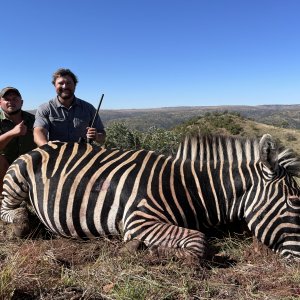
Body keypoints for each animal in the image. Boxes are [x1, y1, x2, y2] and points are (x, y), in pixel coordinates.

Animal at [0, 134, 300, 262]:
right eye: (292, 203)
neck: (189, 188)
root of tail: (47, 145)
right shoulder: (139, 220)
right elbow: (199, 243)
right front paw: (144, 250)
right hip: (16, 179)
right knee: (9, 210)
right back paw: (22, 224)